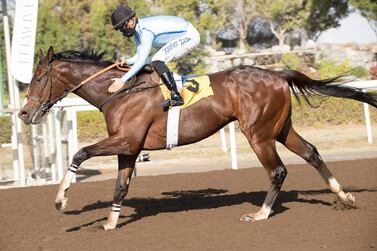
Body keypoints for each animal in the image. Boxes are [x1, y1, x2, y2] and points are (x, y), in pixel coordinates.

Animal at [19, 46, 376, 230]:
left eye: (37, 79)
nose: (23, 113)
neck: (119, 90)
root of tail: (277, 73)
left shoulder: (126, 141)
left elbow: (79, 153)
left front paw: (61, 199)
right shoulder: (129, 148)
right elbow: (120, 185)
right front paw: (109, 222)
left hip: (258, 133)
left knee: (277, 170)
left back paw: (260, 214)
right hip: (280, 128)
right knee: (312, 152)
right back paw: (344, 196)